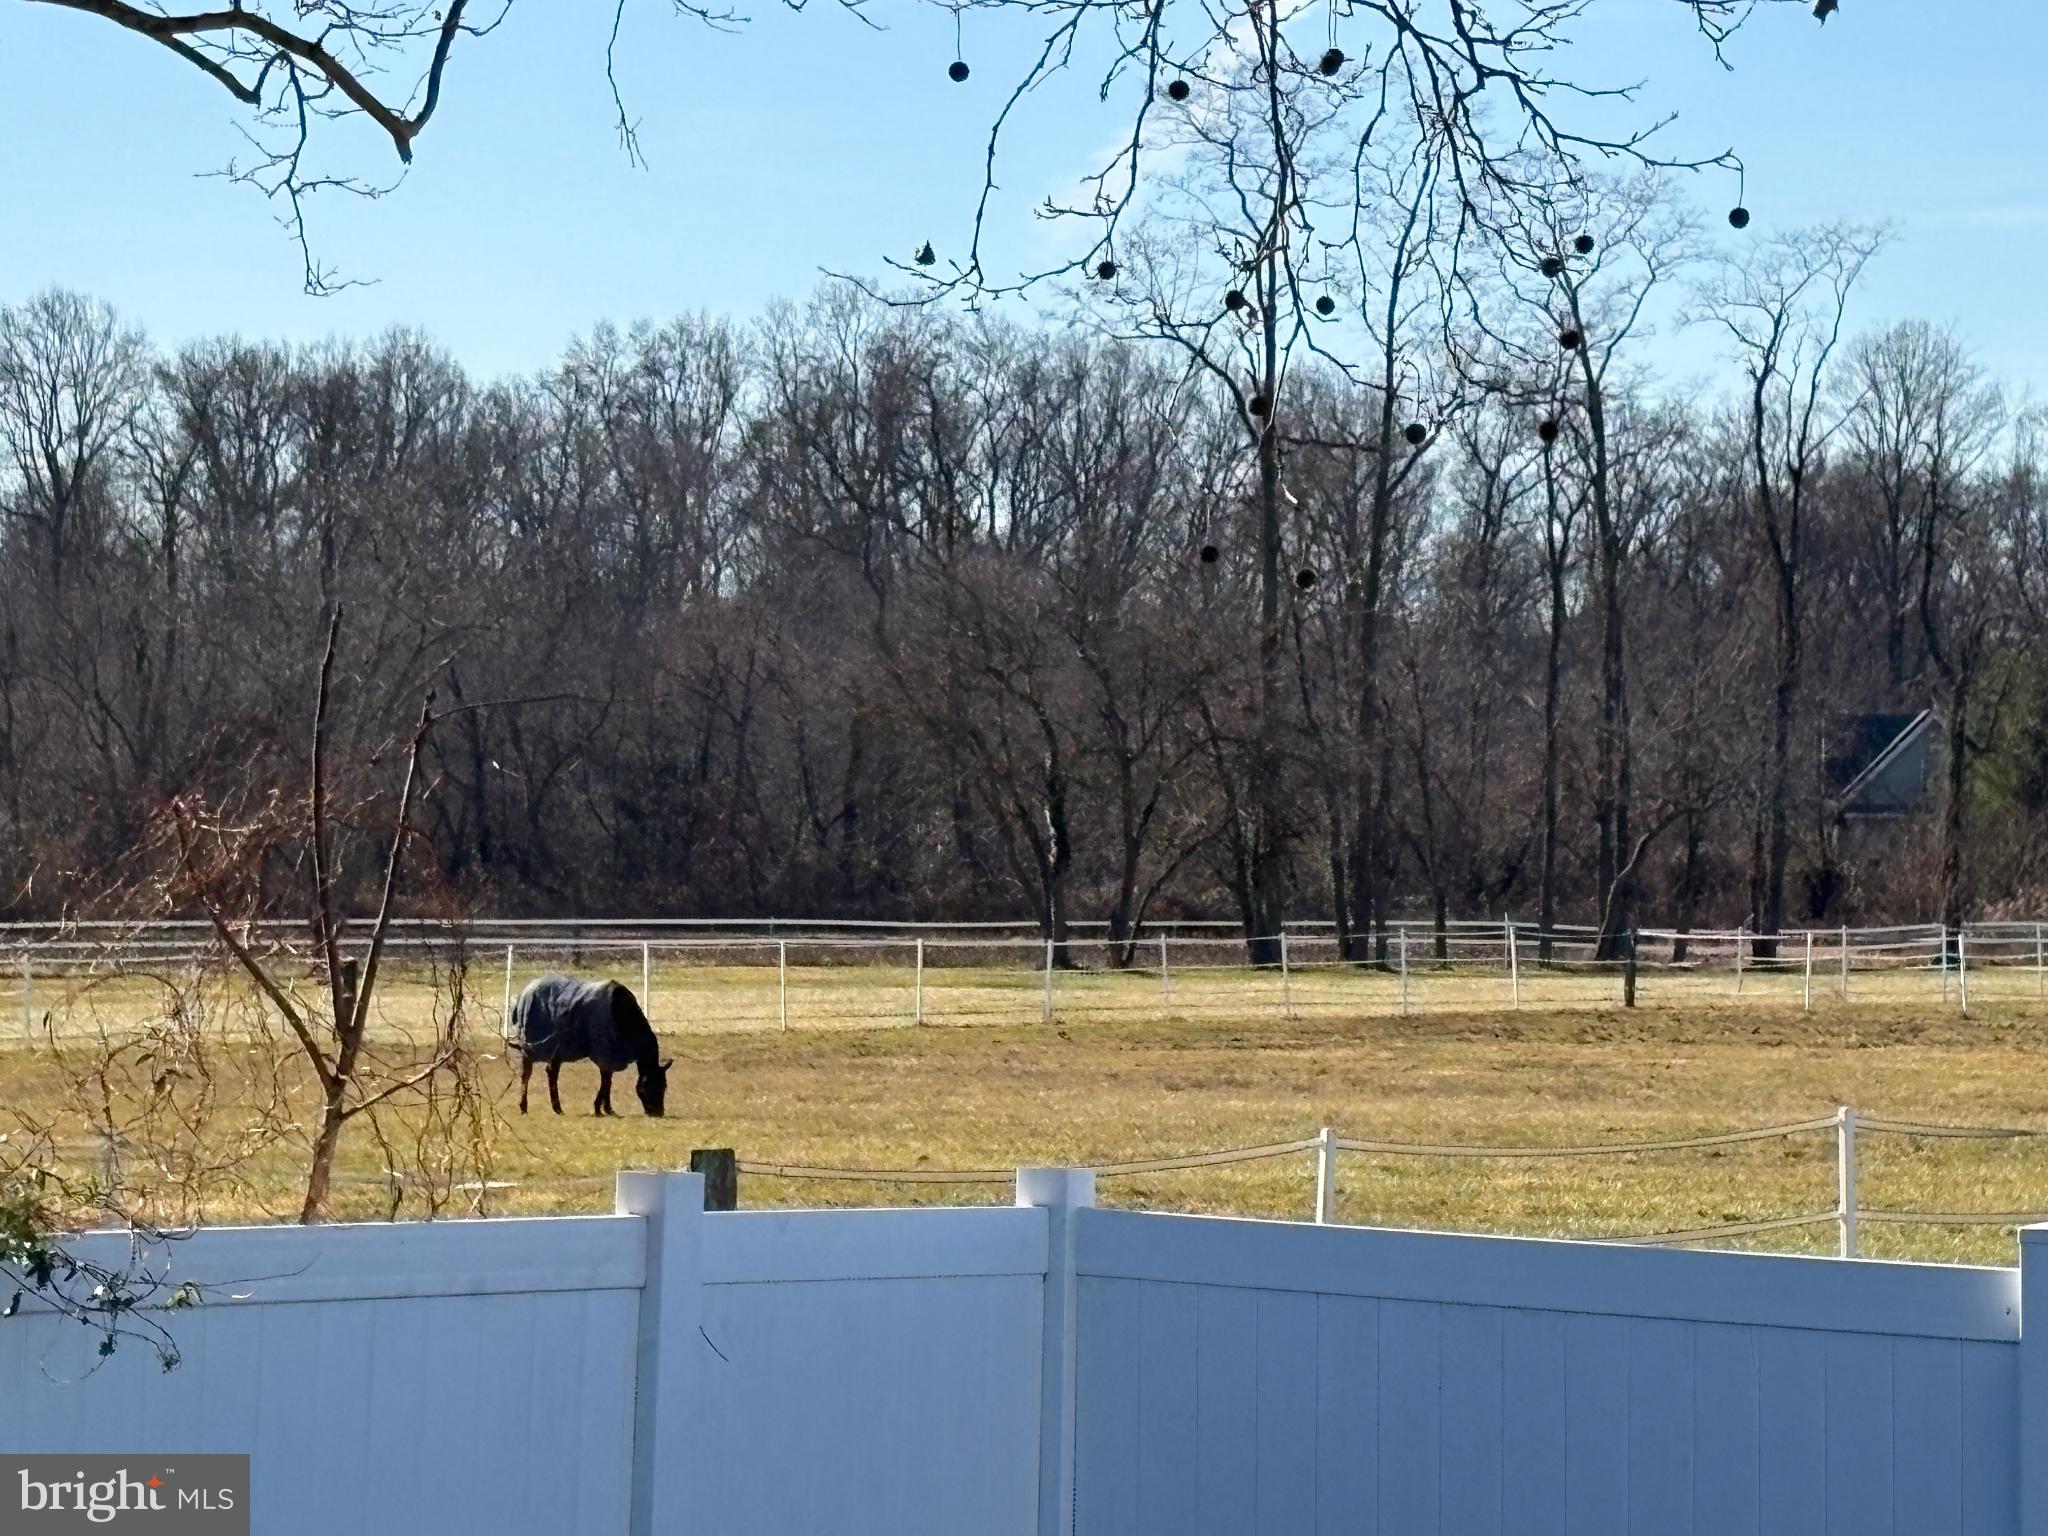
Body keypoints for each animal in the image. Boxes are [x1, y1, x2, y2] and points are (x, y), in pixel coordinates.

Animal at [510, 974, 671, 1117]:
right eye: (656, 1086)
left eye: (664, 1086)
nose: (659, 1113)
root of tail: (523, 994)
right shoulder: (604, 1050)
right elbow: (605, 1080)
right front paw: (598, 1109)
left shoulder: (610, 1051)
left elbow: (608, 1080)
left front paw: (607, 1109)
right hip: (532, 1047)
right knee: (528, 1073)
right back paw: (526, 1106)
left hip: (554, 1049)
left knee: (550, 1072)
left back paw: (554, 1108)